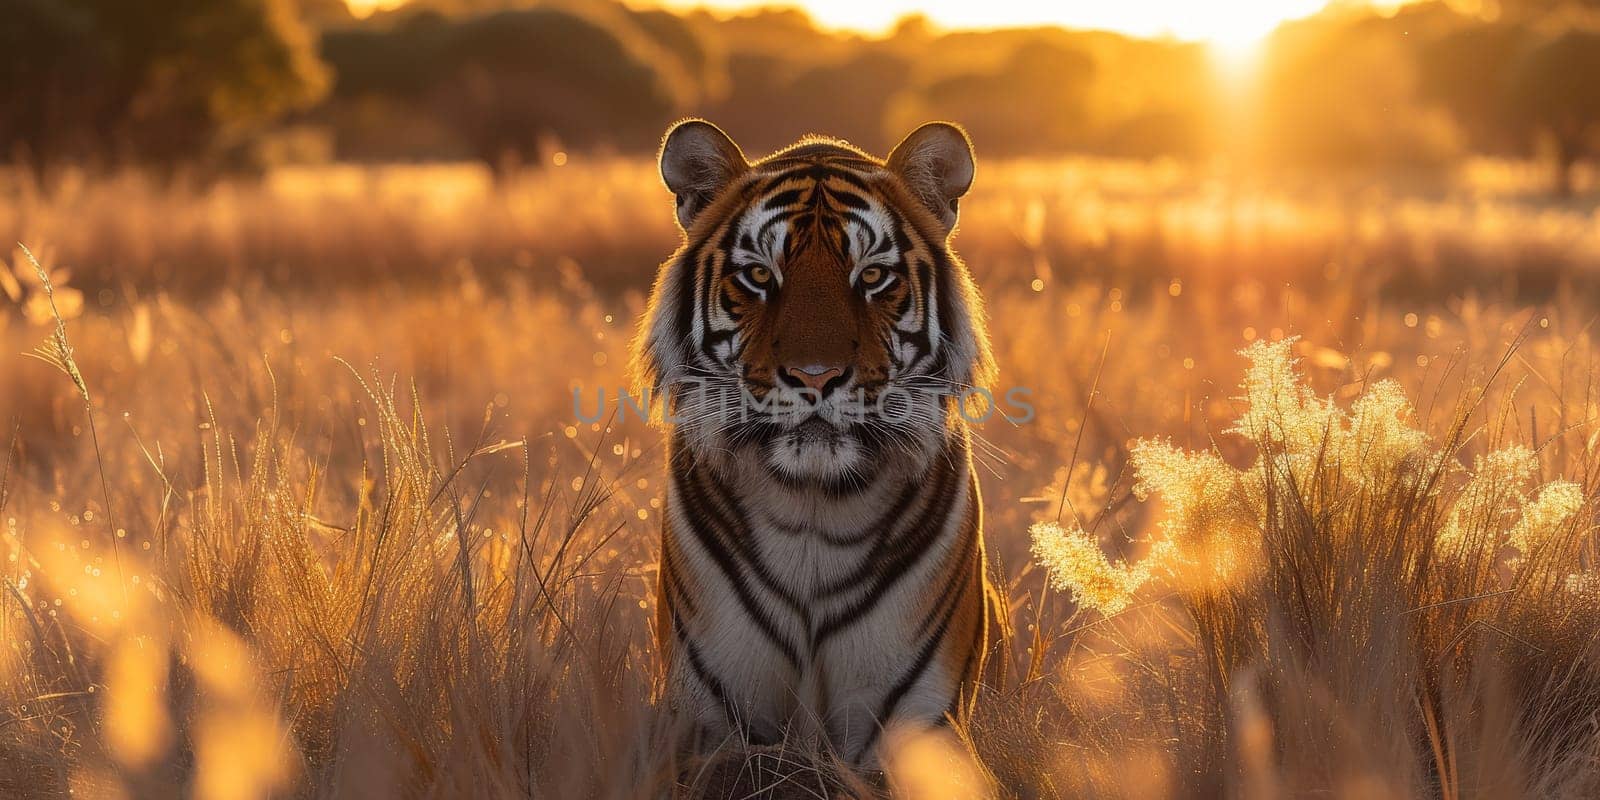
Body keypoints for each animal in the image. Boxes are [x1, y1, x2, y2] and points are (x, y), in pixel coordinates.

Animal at [630, 118, 1004, 768]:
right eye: (759, 275)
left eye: (872, 276)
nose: (815, 377)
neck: (813, 508)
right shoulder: (706, 723)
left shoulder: (922, 725)